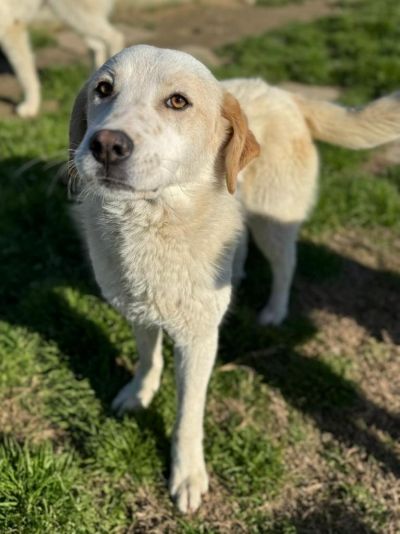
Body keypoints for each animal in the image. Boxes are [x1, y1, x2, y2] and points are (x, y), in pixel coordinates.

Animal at [69, 45, 400, 512]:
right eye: (103, 89)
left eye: (178, 102)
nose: (106, 144)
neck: (153, 222)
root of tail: (283, 94)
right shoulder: (139, 311)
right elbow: (148, 360)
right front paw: (137, 395)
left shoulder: (198, 340)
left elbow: (188, 415)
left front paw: (187, 475)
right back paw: (238, 276)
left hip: (273, 222)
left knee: (286, 264)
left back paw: (274, 311)